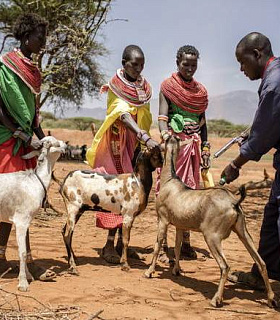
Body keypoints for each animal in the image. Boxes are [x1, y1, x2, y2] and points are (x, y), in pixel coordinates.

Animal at [0, 136, 65, 292]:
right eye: (55, 143)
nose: (66, 145)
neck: (34, 182)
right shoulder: (21, 221)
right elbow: (22, 252)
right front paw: (23, 283)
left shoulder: (27, 221)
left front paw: (28, 276)